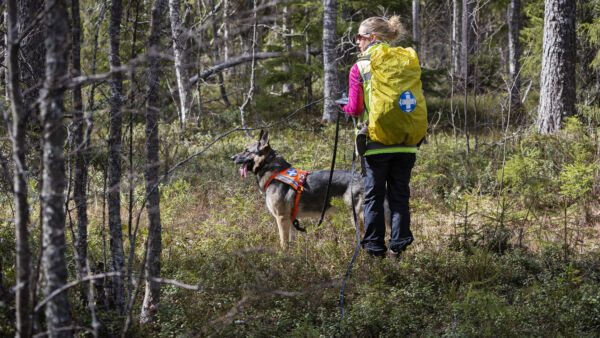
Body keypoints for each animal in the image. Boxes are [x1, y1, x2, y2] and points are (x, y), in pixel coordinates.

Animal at [232, 131, 392, 250]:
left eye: (247, 151)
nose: (232, 157)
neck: (270, 168)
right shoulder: (290, 220)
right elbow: (291, 242)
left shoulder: (281, 218)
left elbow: (283, 243)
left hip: (359, 218)